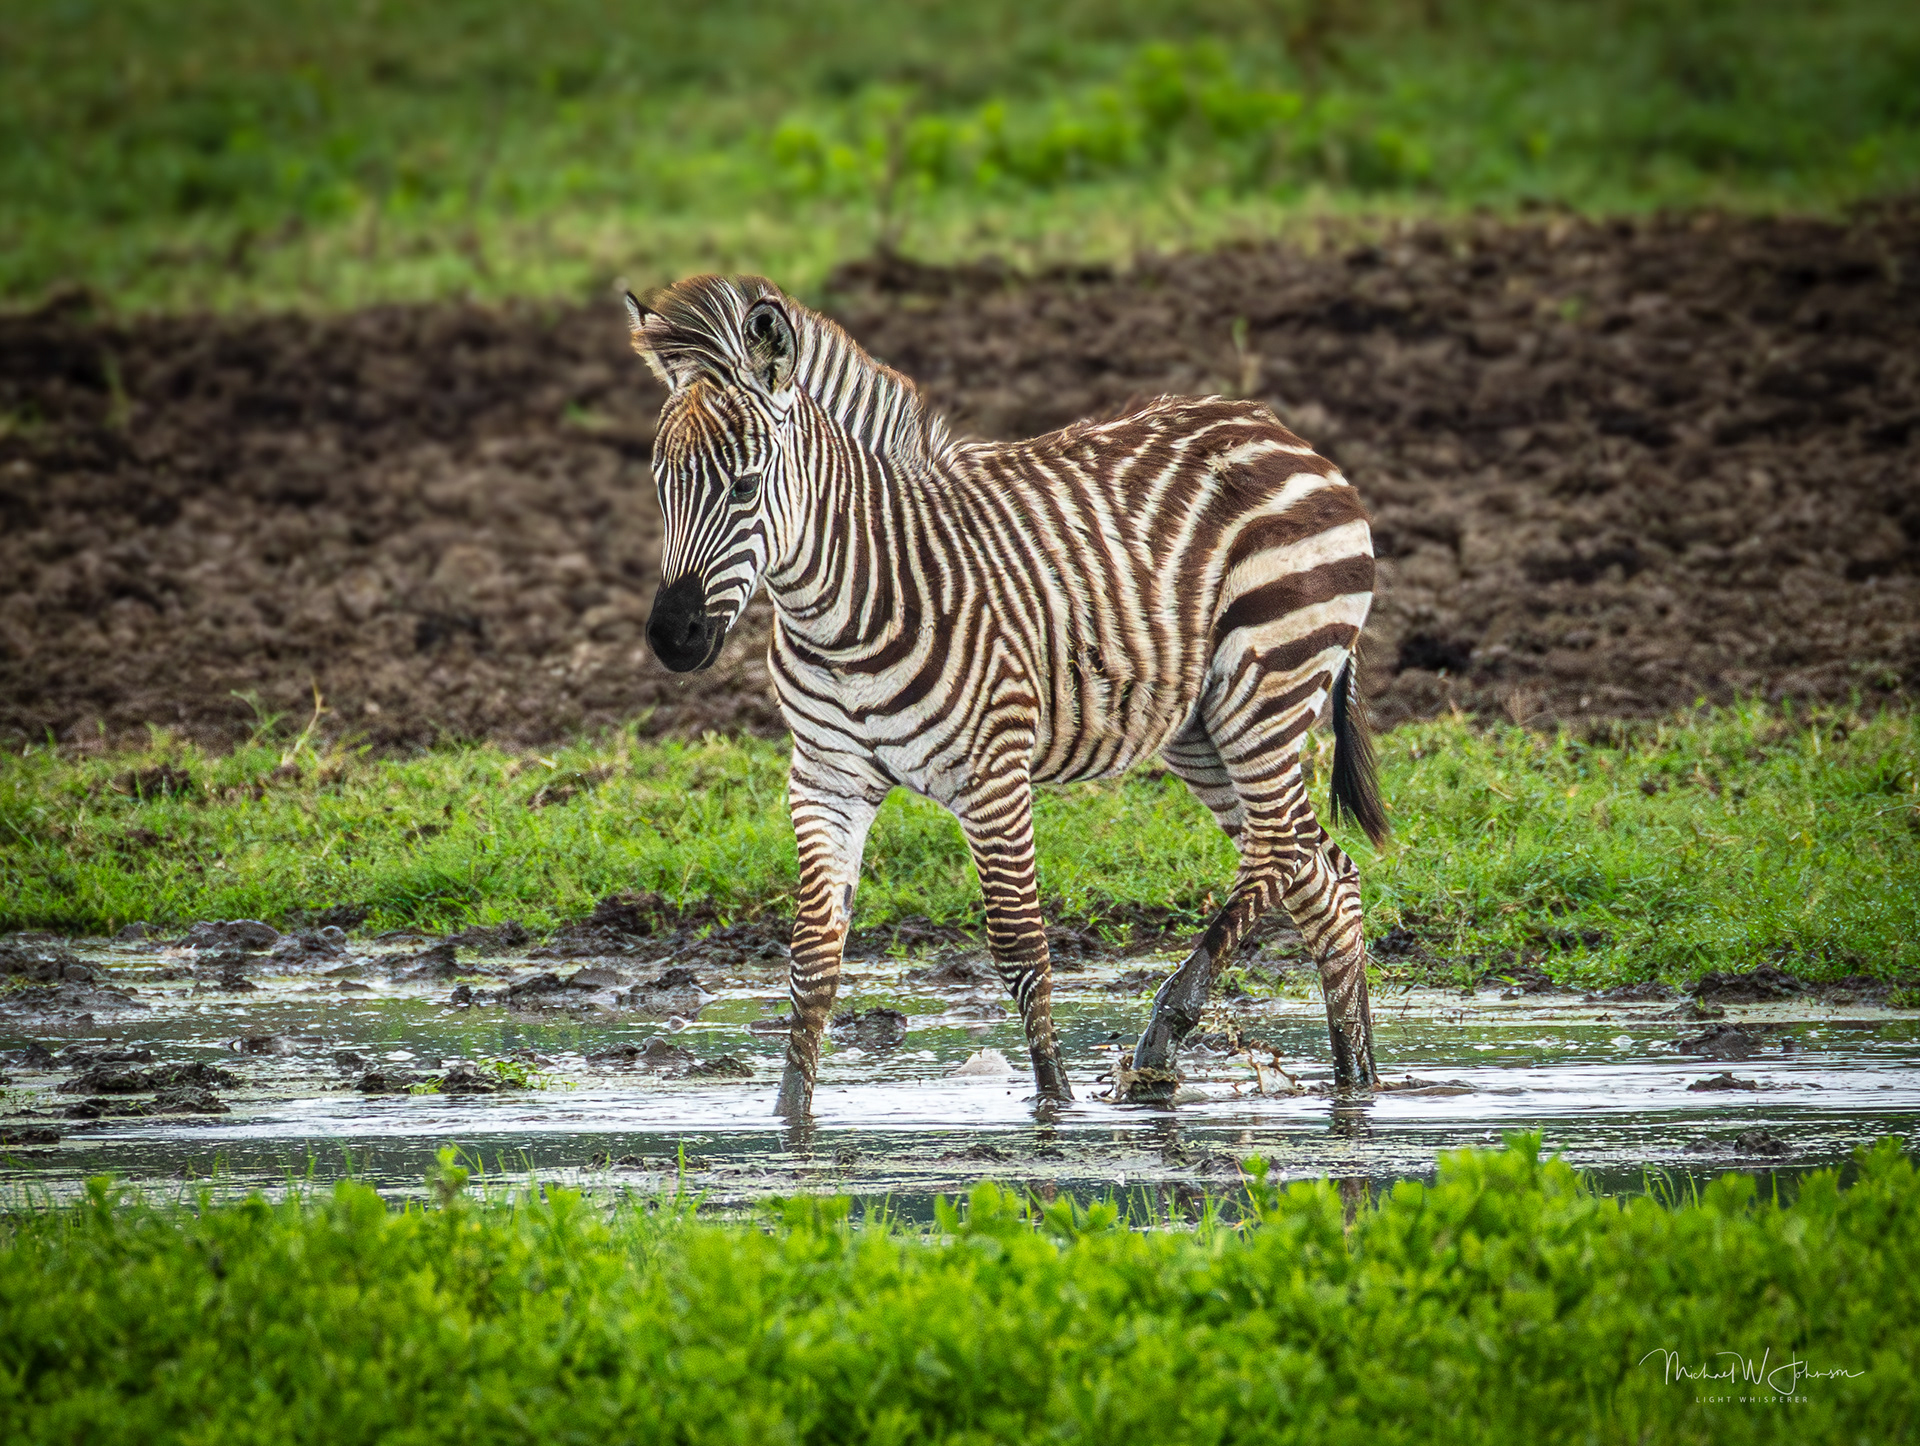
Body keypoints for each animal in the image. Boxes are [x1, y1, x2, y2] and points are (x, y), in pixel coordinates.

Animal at [625, 274, 1389, 1117]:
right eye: (658, 487)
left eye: (744, 486)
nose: (673, 639)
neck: (840, 613)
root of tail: (1275, 428)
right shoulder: (825, 781)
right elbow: (814, 963)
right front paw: (789, 1118)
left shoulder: (992, 775)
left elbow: (1022, 950)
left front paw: (1054, 1109)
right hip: (1199, 728)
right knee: (1322, 876)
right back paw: (1356, 1081)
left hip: (1264, 681)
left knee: (1281, 851)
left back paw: (1166, 1039)